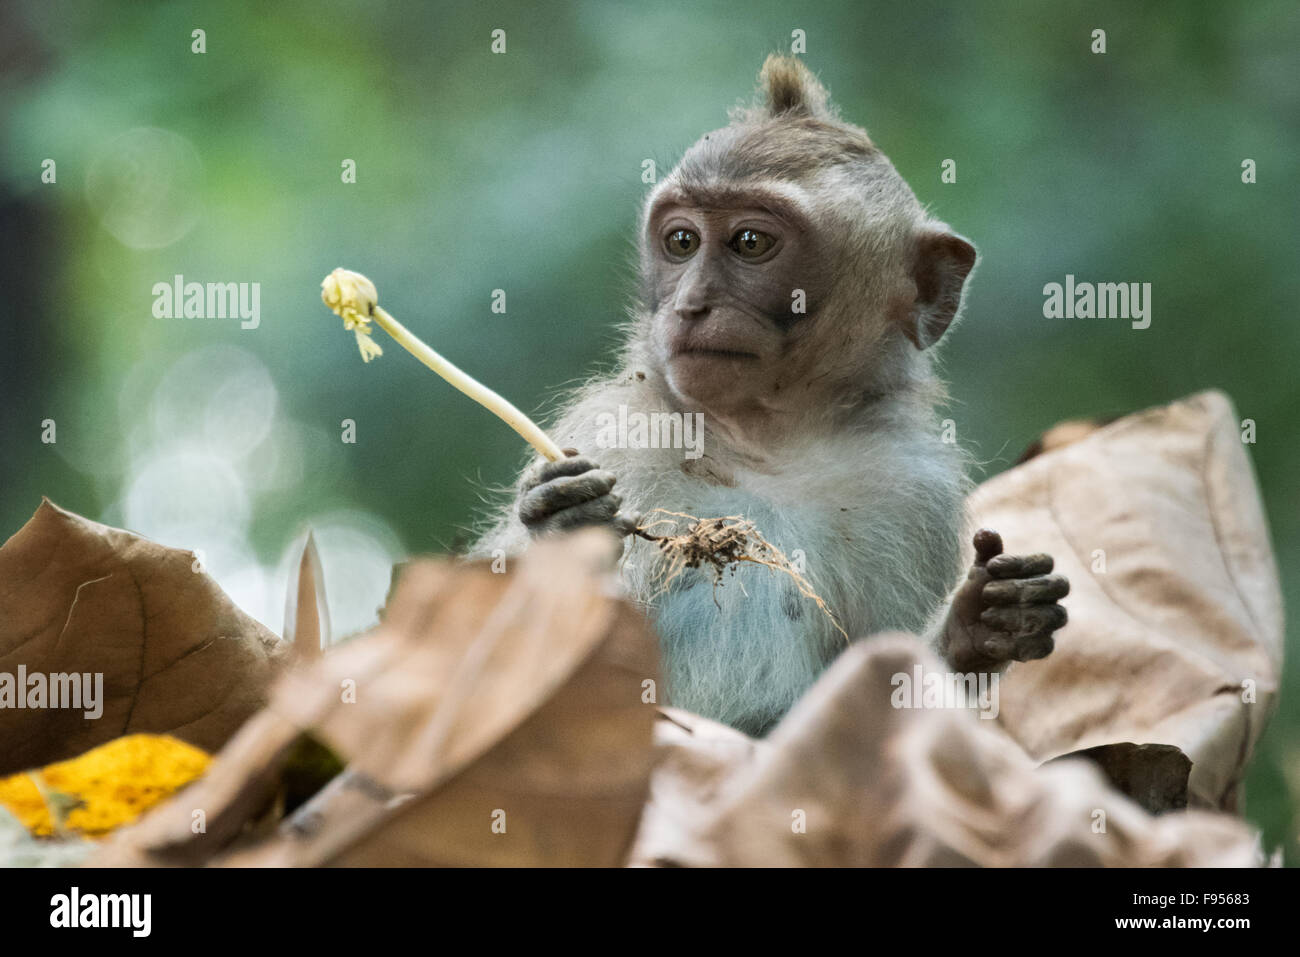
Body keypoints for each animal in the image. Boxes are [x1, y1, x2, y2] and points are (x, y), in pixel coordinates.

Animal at [470, 55, 1068, 737]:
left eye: (750, 243)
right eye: (682, 242)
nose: (690, 304)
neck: (768, 441)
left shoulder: (914, 490)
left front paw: (979, 629)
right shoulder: (610, 429)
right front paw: (563, 537)